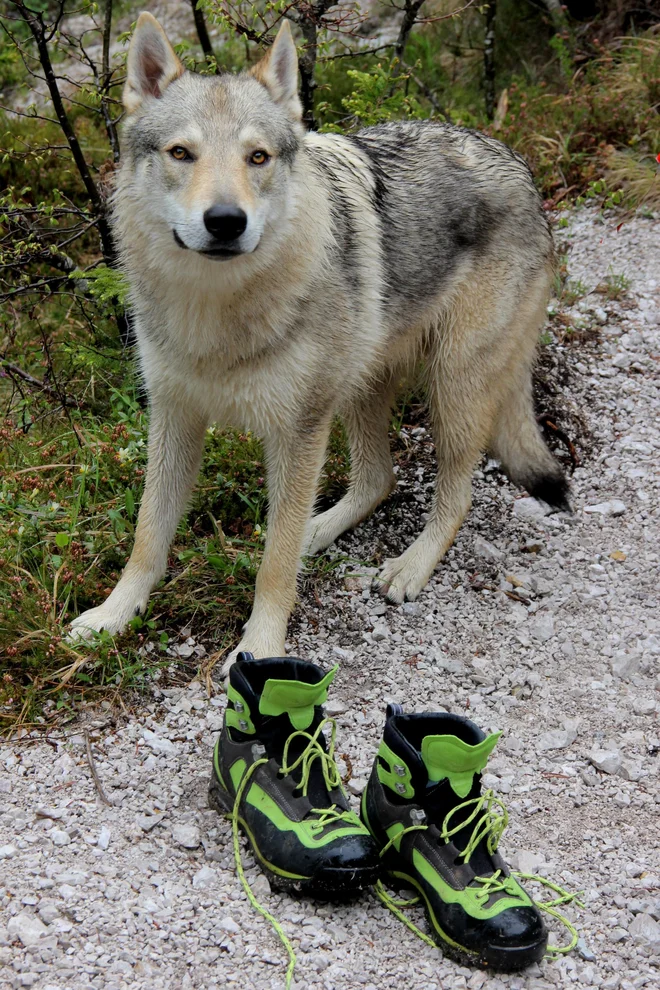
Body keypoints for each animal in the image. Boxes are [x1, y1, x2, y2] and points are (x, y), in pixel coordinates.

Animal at [71, 11, 568, 672]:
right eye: (181, 153)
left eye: (257, 157)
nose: (225, 221)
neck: (215, 313)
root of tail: (520, 164)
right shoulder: (174, 416)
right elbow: (148, 536)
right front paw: (112, 616)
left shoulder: (298, 432)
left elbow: (273, 567)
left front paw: (259, 650)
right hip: (363, 384)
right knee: (378, 479)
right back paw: (319, 527)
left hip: (451, 388)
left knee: (453, 494)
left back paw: (408, 566)